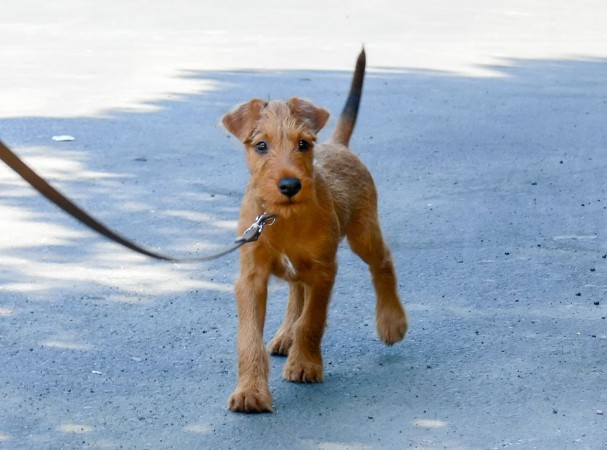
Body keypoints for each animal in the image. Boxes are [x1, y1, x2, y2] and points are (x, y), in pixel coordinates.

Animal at [221, 48, 406, 412]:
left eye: (303, 144)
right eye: (260, 146)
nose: (290, 185)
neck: (281, 218)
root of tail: (338, 145)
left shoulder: (324, 270)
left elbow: (313, 320)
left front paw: (305, 364)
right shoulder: (251, 278)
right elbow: (249, 338)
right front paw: (250, 391)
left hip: (363, 233)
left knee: (383, 262)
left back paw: (392, 321)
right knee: (296, 291)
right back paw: (284, 336)